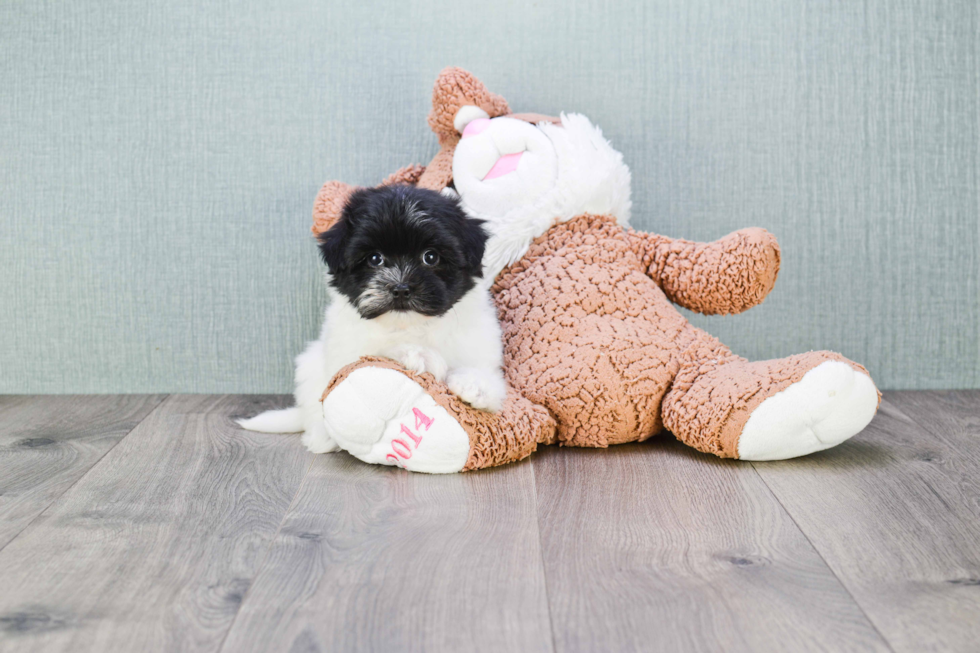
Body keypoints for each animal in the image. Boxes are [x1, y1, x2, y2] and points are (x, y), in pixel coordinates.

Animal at [239, 182, 506, 448]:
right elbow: (376, 353)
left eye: (430, 257)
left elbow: (487, 374)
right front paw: (420, 355)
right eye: (375, 258)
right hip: (310, 367)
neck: (411, 326)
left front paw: (477, 386)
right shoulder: (347, 348)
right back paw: (322, 437)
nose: (401, 288)